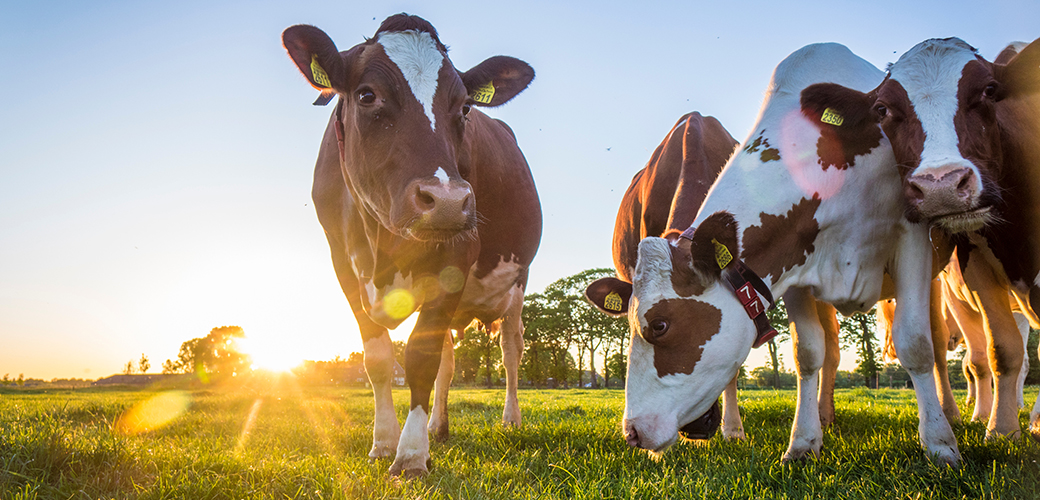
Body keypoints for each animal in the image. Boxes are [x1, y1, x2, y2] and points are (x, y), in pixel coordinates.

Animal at [284, 14, 544, 476]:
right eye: (367, 95)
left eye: (465, 107)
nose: (447, 200)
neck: (381, 242)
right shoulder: (342, 264)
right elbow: (378, 358)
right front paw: (384, 442)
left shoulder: (458, 256)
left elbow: (421, 359)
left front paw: (409, 456)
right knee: (449, 360)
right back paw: (438, 427)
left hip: (517, 282)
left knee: (511, 349)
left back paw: (510, 420)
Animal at [586, 42, 956, 463]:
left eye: (660, 324)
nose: (632, 432)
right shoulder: (795, 265)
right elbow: (807, 352)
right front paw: (803, 442)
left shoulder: (912, 234)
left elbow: (916, 343)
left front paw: (940, 445)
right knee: (831, 348)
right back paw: (825, 416)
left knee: (938, 340)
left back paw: (956, 415)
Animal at [802, 36, 1040, 438]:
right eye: (882, 109)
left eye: (990, 90)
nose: (940, 186)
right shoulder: (977, 266)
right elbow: (1001, 352)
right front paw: (1001, 429)